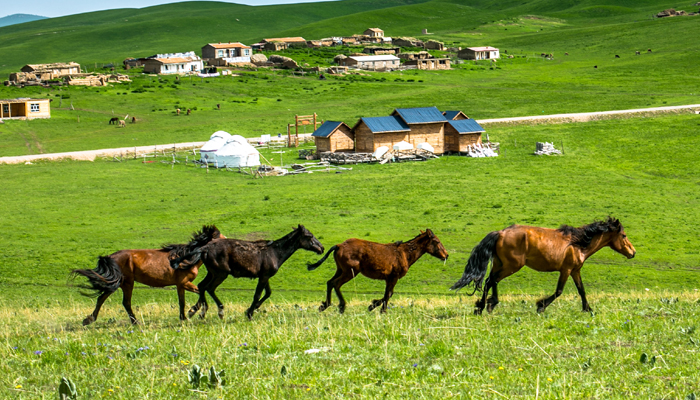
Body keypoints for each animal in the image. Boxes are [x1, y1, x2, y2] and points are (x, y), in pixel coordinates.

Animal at [72, 225, 224, 325]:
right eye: (220, 237)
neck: (186, 258)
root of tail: (111, 257)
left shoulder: (180, 285)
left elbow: (183, 301)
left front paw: (185, 316)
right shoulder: (184, 283)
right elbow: (199, 293)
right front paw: (192, 312)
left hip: (119, 283)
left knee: (102, 298)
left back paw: (89, 319)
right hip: (127, 283)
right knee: (125, 302)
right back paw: (136, 322)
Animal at [172, 225, 324, 320]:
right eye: (309, 236)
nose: (321, 248)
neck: (274, 252)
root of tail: (204, 248)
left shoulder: (264, 276)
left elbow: (268, 293)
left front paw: (253, 308)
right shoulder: (264, 277)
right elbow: (257, 295)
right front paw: (249, 313)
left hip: (212, 272)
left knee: (202, 286)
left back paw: (197, 311)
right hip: (221, 273)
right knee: (209, 288)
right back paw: (219, 311)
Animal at [308, 229, 449, 314]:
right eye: (436, 241)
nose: (446, 255)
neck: (405, 253)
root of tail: (339, 246)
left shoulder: (389, 278)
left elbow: (389, 294)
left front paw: (373, 305)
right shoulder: (393, 277)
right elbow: (388, 294)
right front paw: (381, 310)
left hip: (340, 269)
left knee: (330, 282)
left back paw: (325, 305)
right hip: (350, 271)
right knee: (336, 284)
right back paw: (341, 306)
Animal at [450, 217, 636, 315]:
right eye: (624, 235)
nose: (633, 252)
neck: (578, 244)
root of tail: (500, 233)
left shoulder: (575, 271)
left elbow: (581, 290)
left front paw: (588, 309)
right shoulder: (566, 270)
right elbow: (559, 291)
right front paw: (541, 306)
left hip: (499, 263)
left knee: (490, 281)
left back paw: (484, 306)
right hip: (512, 266)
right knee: (491, 280)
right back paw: (486, 306)